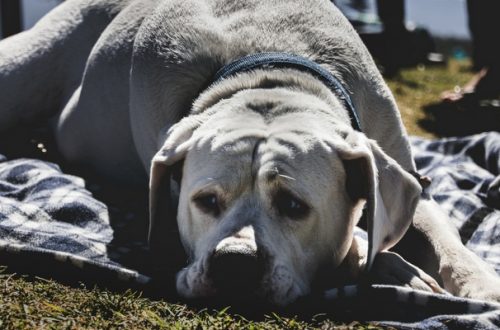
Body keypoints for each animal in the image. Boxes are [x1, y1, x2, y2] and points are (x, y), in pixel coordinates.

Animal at [0, 0, 500, 306]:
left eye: (295, 206)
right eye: (205, 201)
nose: (235, 263)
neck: (270, 78)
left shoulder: (406, 176)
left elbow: (444, 238)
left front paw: (481, 284)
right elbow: (363, 244)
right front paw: (397, 271)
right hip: (22, 68)